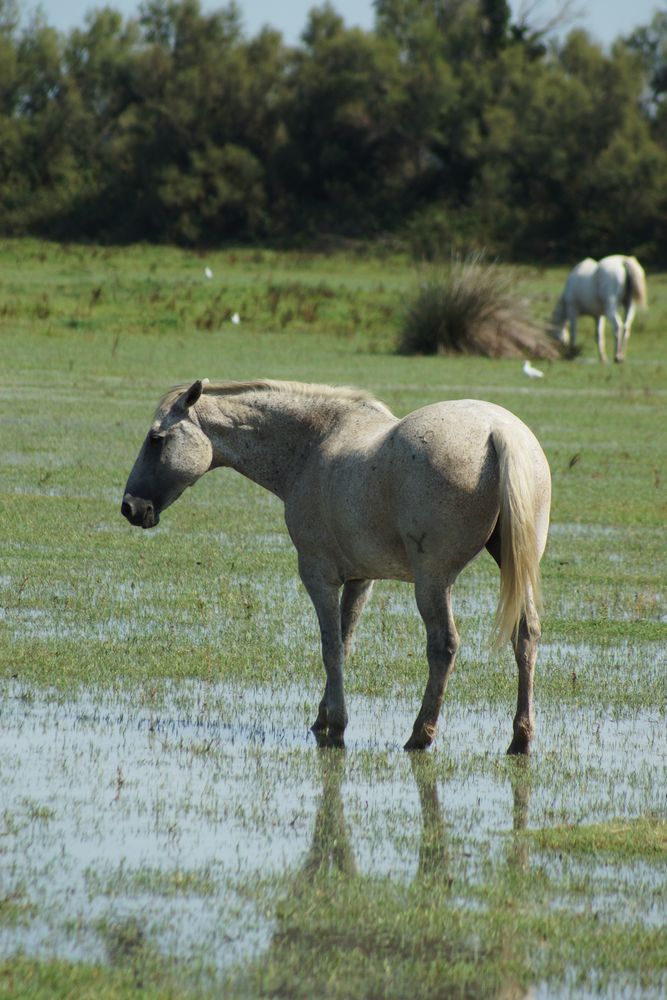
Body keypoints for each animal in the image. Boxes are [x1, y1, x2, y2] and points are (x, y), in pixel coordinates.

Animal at [122, 378, 552, 752]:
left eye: (156, 439)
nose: (130, 507)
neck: (313, 445)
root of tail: (498, 431)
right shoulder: (361, 579)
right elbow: (345, 642)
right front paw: (323, 717)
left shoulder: (319, 576)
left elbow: (330, 646)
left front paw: (337, 725)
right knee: (525, 636)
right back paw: (521, 738)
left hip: (433, 581)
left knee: (443, 645)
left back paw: (420, 735)